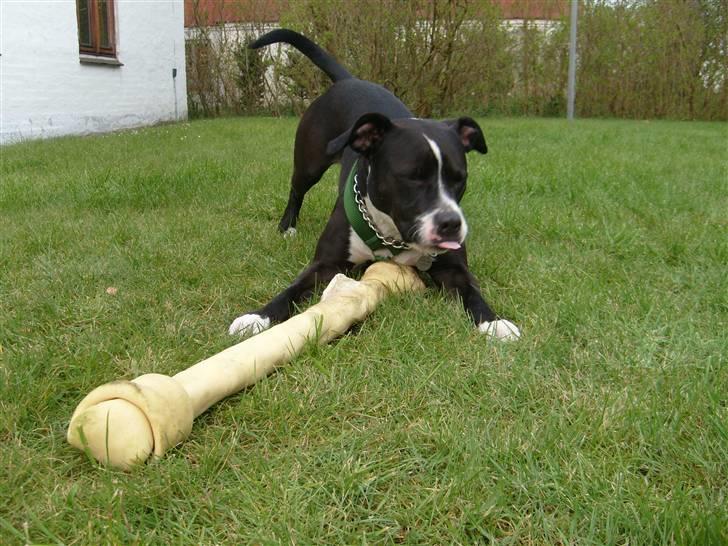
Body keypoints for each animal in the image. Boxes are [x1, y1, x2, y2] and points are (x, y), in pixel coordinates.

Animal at [228, 28, 516, 340]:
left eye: (459, 178)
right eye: (412, 177)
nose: (451, 224)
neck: (390, 235)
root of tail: (349, 80)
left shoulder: (453, 269)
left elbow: (472, 291)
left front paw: (493, 321)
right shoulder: (325, 265)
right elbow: (292, 290)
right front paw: (258, 316)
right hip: (309, 163)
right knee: (296, 191)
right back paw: (287, 227)